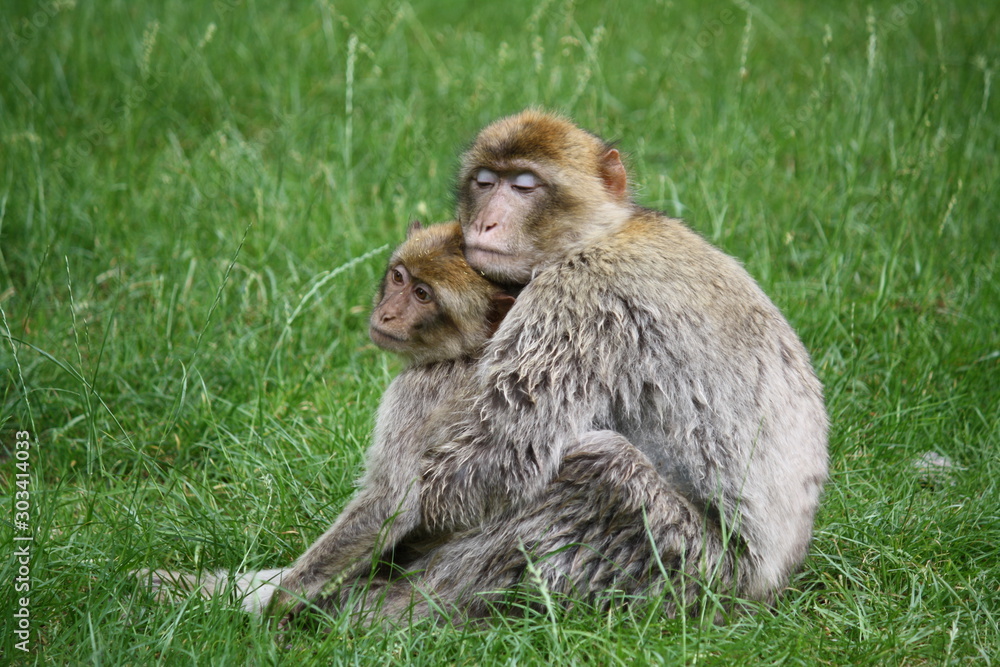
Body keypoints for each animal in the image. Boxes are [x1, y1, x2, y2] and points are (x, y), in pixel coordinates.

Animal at [136, 220, 515, 616]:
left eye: (423, 294)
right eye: (399, 277)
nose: (387, 314)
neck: (464, 353)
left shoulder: (414, 395)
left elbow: (390, 504)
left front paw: (278, 605)